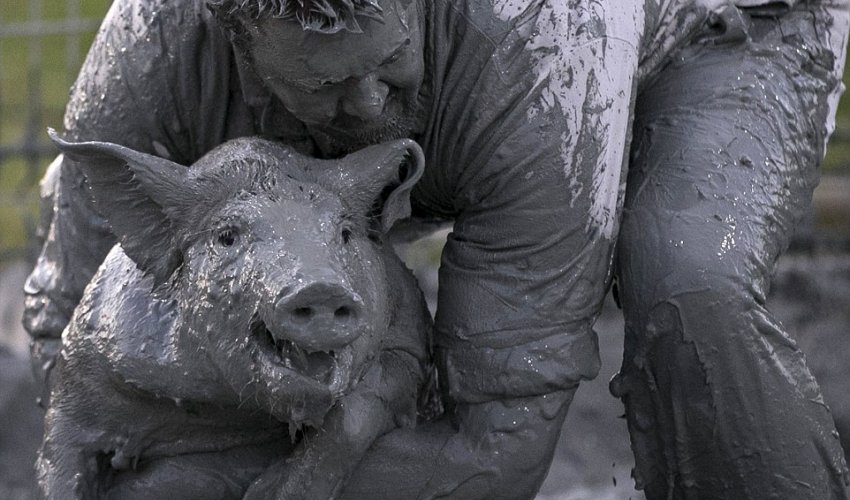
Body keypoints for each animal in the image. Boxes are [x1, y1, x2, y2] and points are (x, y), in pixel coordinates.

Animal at [36, 130, 434, 500]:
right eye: (227, 235)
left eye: (345, 233)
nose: (320, 288)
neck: (234, 410)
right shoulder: (82, 364)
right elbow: (61, 453)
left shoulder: (410, 343)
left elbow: (354, 414)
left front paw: (265, 491)